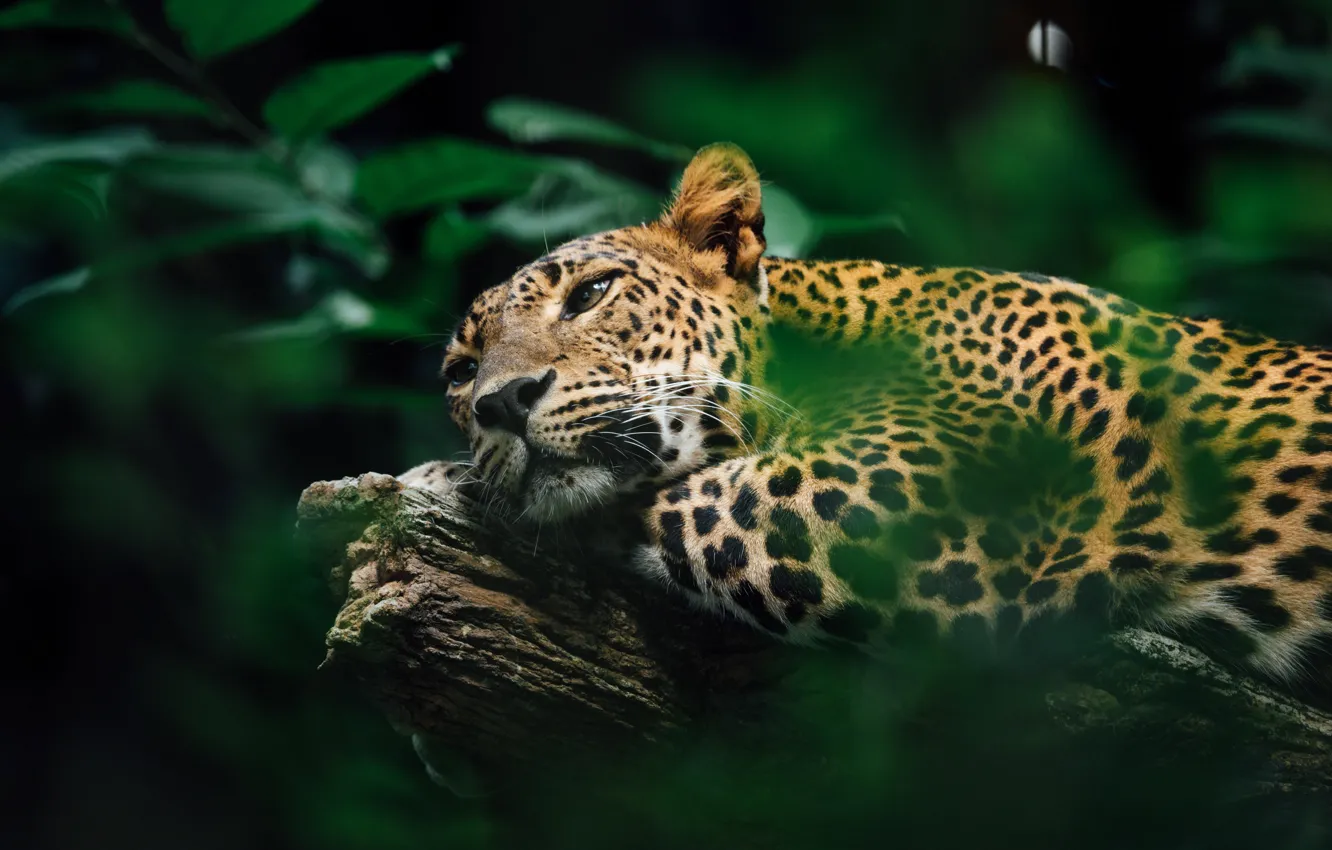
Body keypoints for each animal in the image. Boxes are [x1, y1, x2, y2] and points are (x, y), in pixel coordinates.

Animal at [403, 142, 1332, 687]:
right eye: (460, 371)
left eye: (592, 293)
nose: (499, 403)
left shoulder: (895, 503)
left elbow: (662, 500)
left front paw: (441, 480)